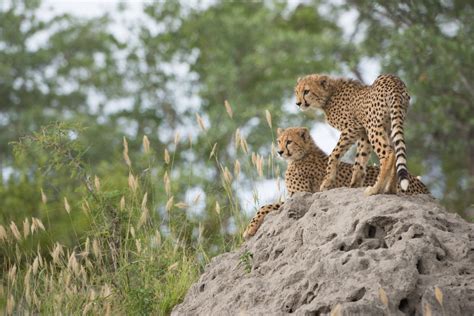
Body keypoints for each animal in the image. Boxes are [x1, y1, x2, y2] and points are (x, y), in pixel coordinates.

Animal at [243, 127, 432, 238]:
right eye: (280, 141)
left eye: (289, 141)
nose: (280, 151)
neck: (303, 154)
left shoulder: (301, 196)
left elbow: (264, 206)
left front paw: (248, 229)